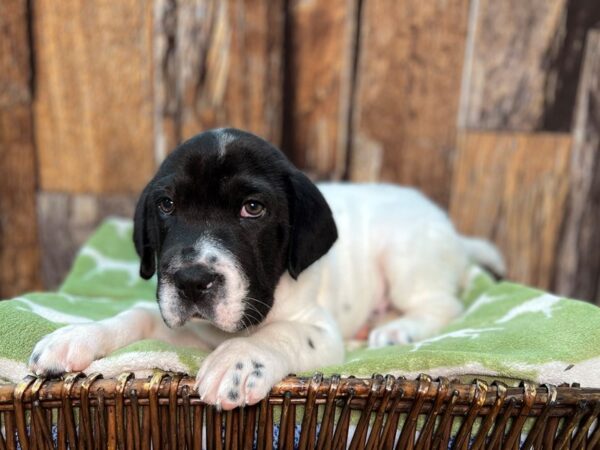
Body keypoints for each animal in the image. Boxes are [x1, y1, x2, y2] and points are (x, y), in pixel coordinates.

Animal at [30, 127, 504, 412]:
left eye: (252, 208)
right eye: (167, 205)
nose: (191, 281)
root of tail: (454, 233)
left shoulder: (319, 329)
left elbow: (280, 334)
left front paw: (237, 362)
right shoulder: (190, 328)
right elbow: (139, 315)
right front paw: (77, 335)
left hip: (405, 256)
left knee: (443, 306)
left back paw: (398, 328)